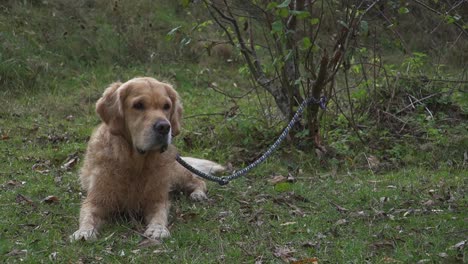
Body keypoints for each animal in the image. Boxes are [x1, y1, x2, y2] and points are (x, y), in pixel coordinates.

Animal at [70, 77, 224, 241]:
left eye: (166, 106)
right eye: (138, 105)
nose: (164, 127)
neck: (136, 163)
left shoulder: (157, 199)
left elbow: (160, 214)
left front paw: (158, 229)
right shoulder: (96, 200)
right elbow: (88, 216)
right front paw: (84, 231)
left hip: (176, 175)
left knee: (199, 180)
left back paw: (198, 194)